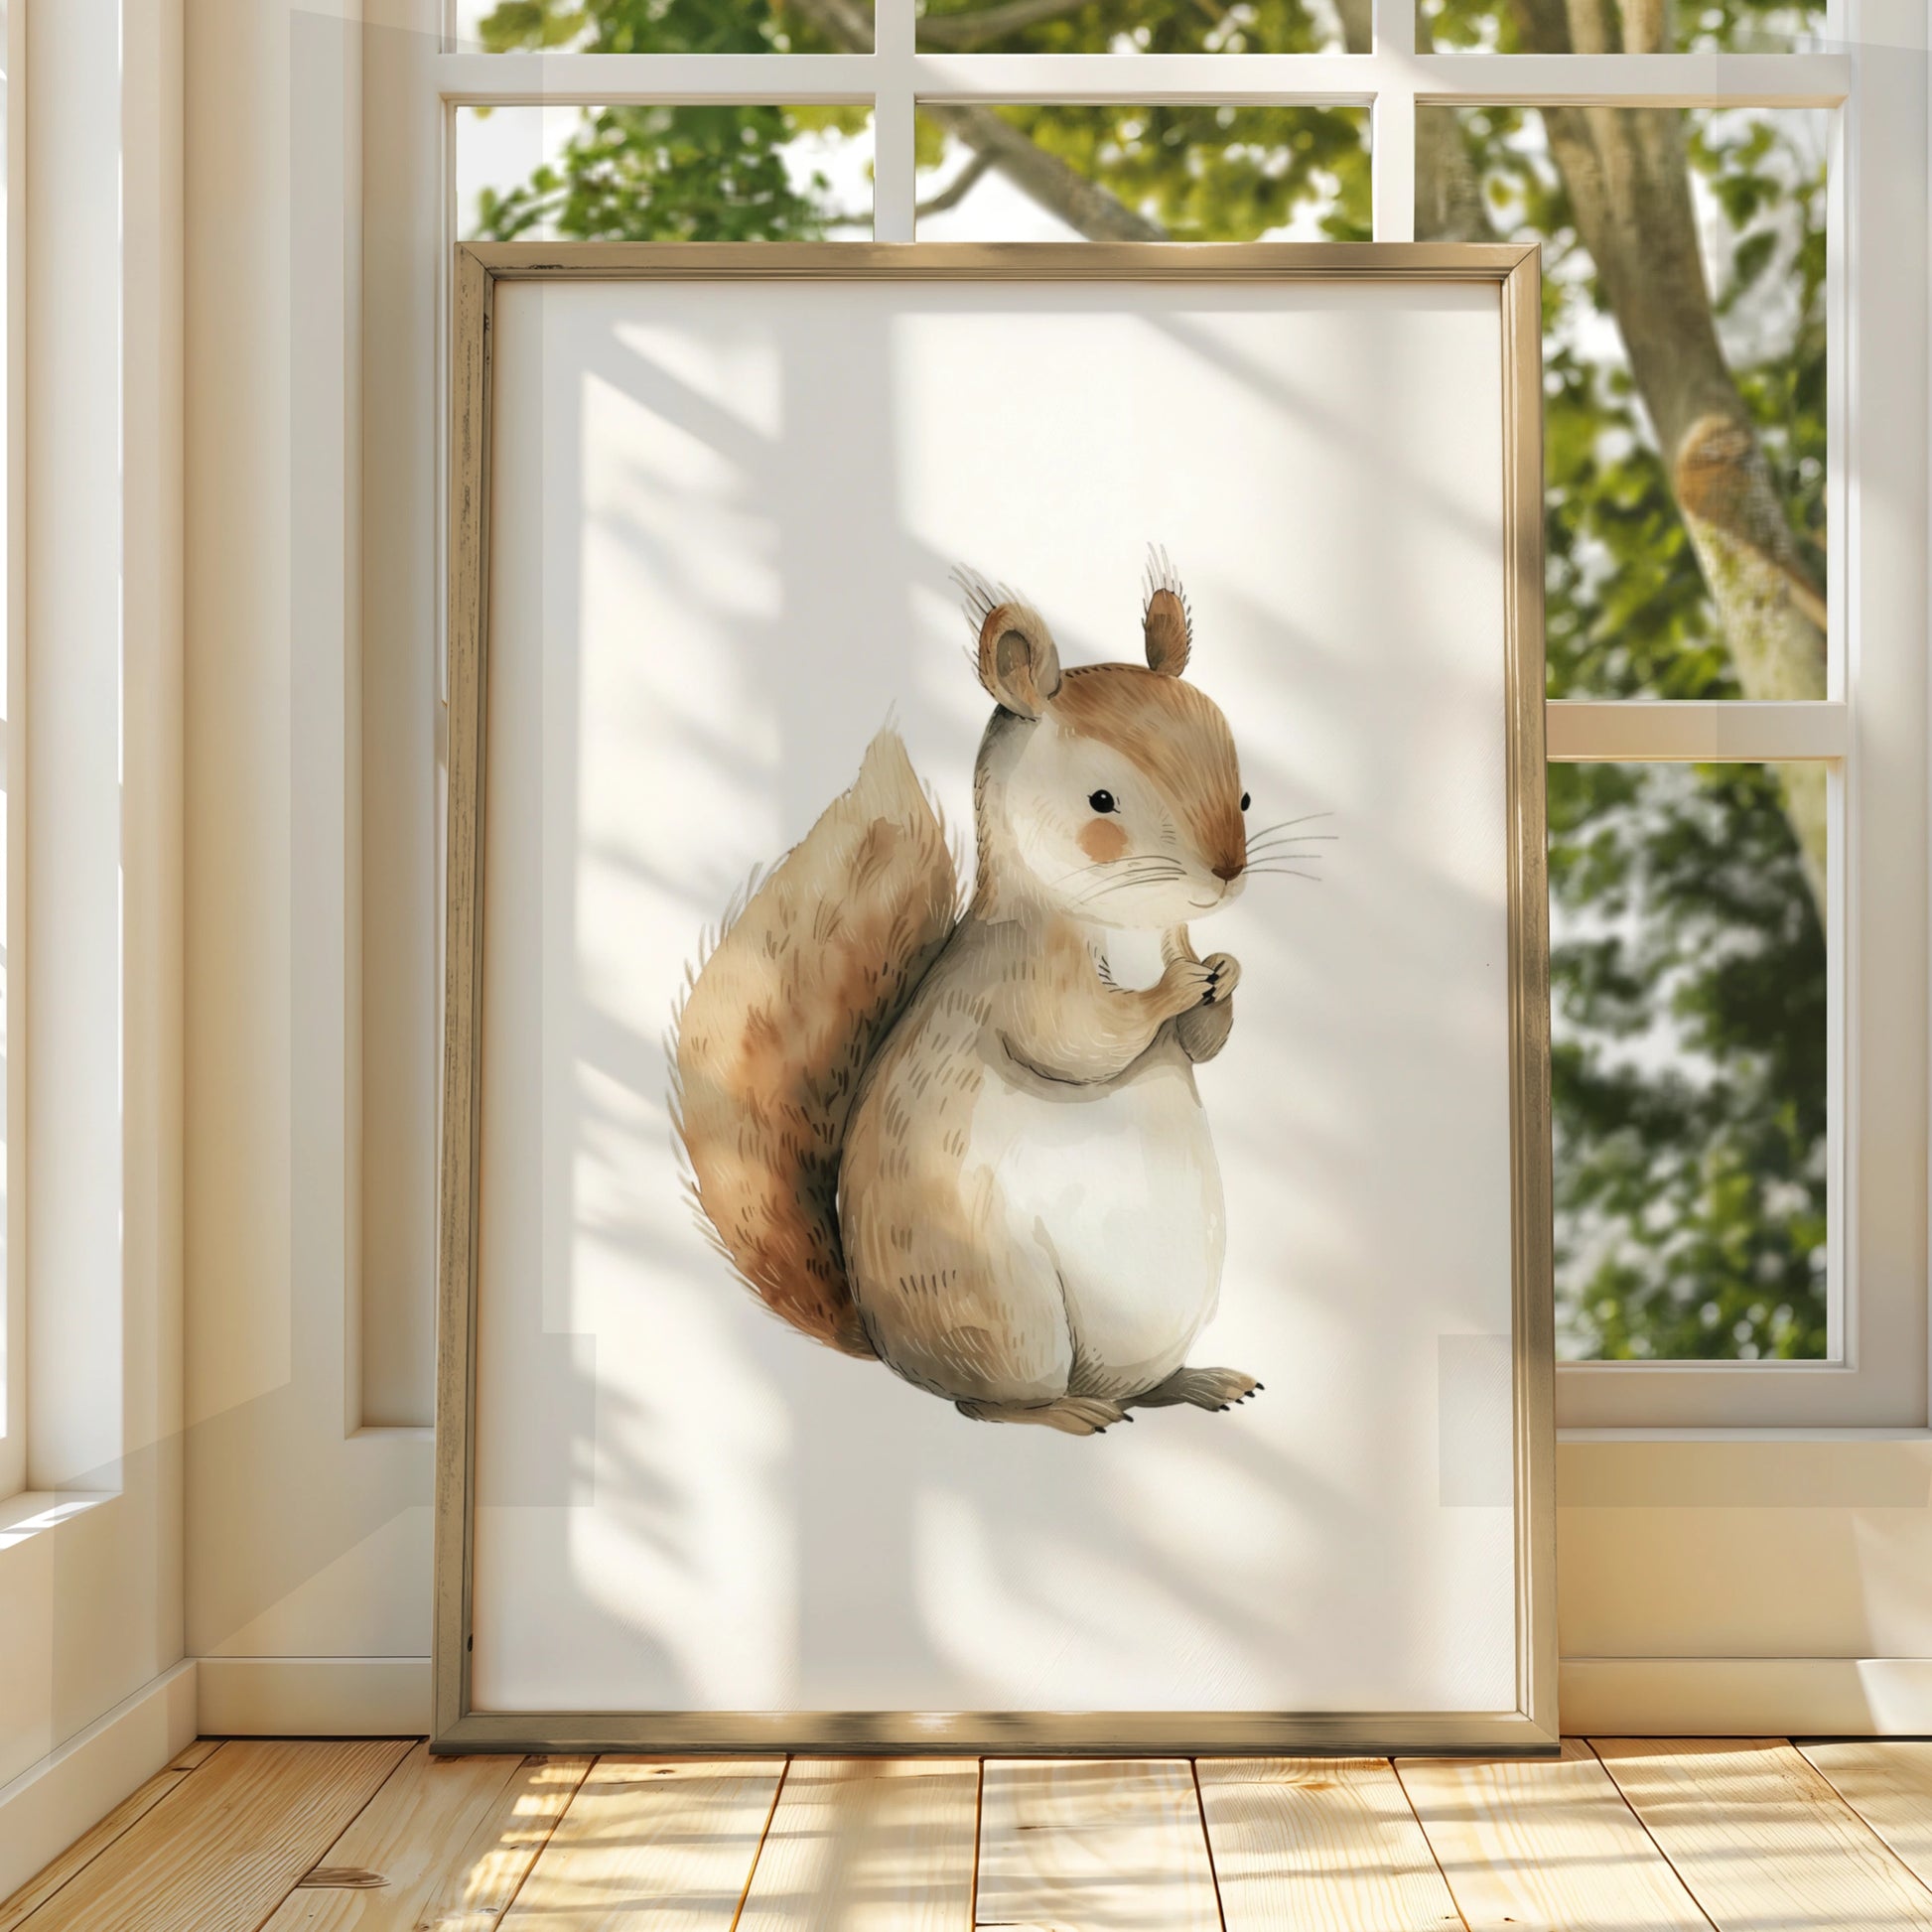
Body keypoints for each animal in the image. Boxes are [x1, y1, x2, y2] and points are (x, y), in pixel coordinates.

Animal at [671, 550, 1264, 1436]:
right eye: (1102, 801)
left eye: (1247, 792)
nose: (1226, 872)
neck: (1126, 927)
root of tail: (887, 1346)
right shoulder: (1023, 978)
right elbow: (1082, 1036)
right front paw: (1174, 988)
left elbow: (1200, 1043)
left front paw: (1223, 975)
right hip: (1004, 1308)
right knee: (981, 1403)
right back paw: (1066, 1413)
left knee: (1133, 1385)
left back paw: (1195, 1382)